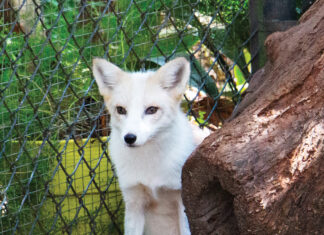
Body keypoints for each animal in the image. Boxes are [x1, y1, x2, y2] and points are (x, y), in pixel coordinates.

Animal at [92, 57, 208, 235]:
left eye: (151, 110)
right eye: (121, 110)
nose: (129, 138)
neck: (149, 166)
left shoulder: (182, 199)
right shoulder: (134, 200)